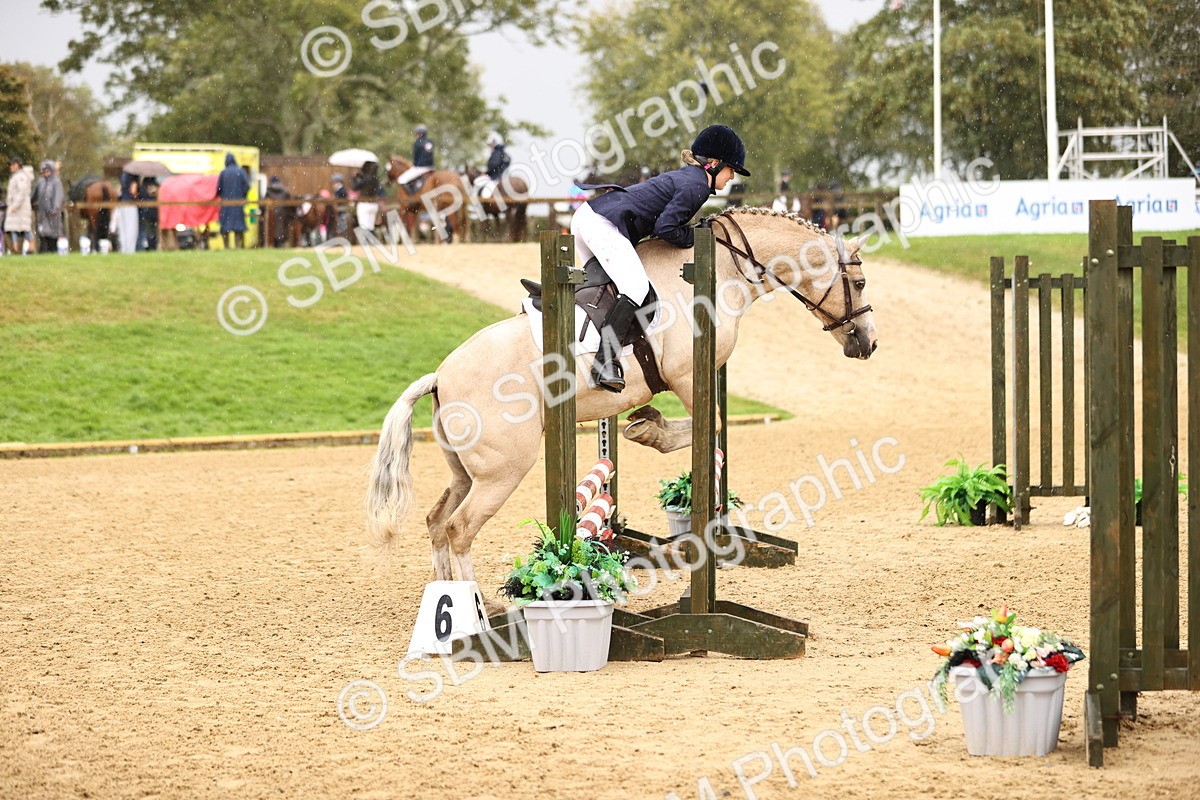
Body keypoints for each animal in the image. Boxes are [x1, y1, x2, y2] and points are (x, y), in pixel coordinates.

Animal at [365, 207, 878, 583]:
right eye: (858, 283)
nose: (868, 343)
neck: (728, 267)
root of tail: (440, 374)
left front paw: (644, 423)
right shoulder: (686, 375)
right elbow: (705, 426)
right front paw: (650, 429)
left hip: (466, 470)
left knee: (437, 521)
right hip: (502, 470)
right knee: (459, 528)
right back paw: (479, 618)